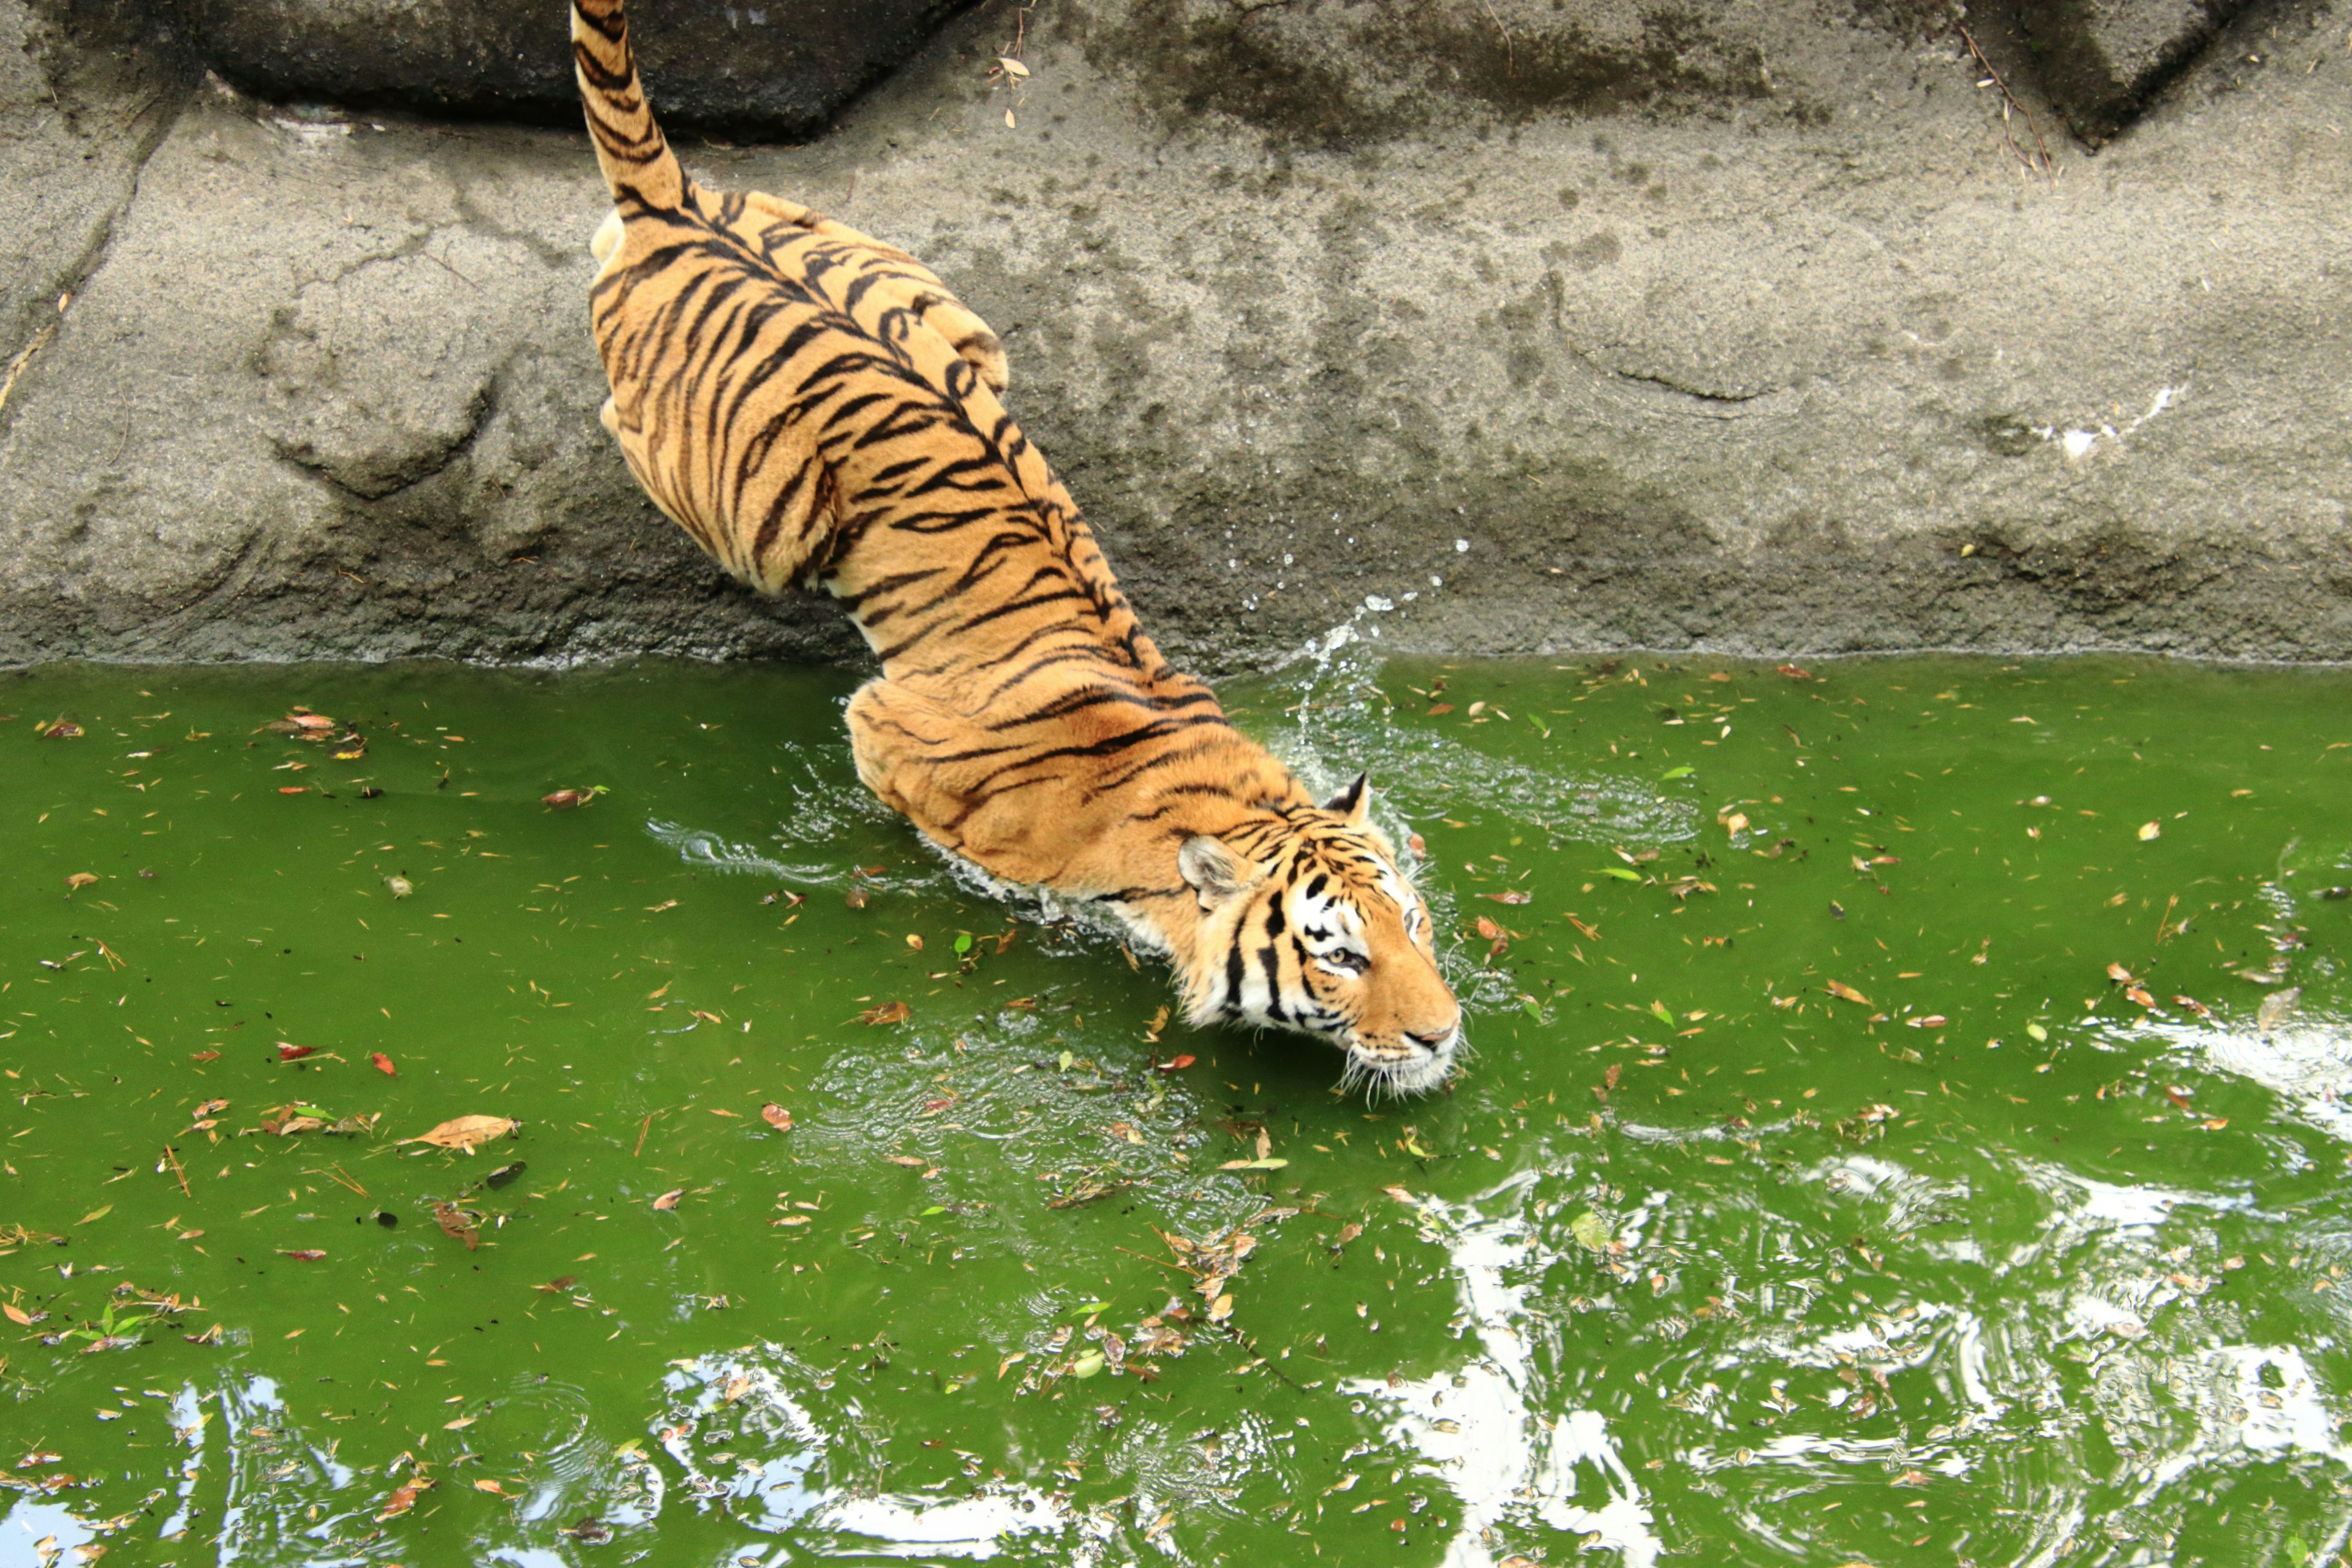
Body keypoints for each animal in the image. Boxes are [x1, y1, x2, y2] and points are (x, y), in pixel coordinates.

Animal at [567, 0, 1458, 1090]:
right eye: (1340, 956)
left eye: (1413, 922)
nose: (1442, 1032)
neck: (1210, 797)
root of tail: (676, 205)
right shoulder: (890, 736)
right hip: (761, 520)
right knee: (628, 416)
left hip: (962, 329)